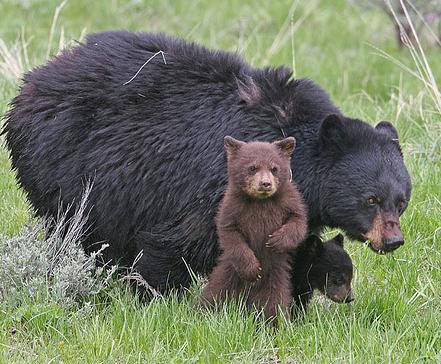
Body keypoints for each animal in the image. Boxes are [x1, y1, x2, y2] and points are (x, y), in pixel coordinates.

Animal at [2, 32, 410, 292]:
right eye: (370, 198)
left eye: (402, 201)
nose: (393, 241)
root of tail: (33, 81)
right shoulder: (208, 187)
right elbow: (178, 241)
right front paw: (156, 294)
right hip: (66, 168)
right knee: (76, 228)